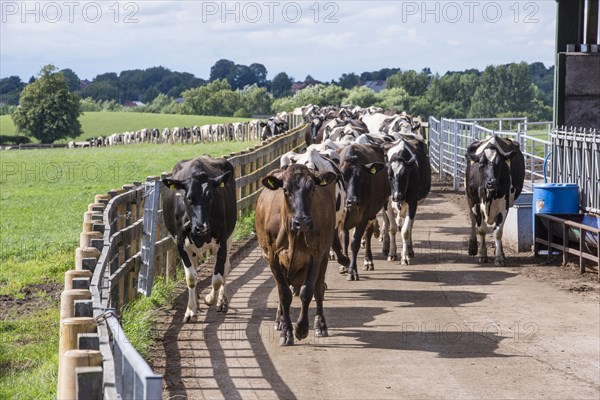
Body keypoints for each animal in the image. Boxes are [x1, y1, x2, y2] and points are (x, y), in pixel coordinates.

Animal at [162, 156, 237, 322]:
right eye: (189, 198)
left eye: (211, 197)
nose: (201, 227)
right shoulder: (181, 243)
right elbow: (191, 277)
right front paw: (191, 310)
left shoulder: (222, 240)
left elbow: (217, 277)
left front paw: (210, 299)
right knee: (195, 268)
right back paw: (196, 299)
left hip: (229, 236)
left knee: (226, 267)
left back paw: (221, 301)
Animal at [254, 164, 338, 346]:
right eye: (285, 190)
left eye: (312, 188)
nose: (302, 222)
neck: (293, 236)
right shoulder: (273, 257)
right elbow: (284, 294)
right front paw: (286, 331)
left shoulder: (316, 255)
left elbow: (308, 291)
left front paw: (301, 328)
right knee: (281, 288)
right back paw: (279, 320)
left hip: (325, 255)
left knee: (319, 289)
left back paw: (320, 325)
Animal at [466, 134, 524, 266]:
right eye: (482, 164)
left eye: (501, 164)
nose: (492, 182)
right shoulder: (476, 204)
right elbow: (481, 229)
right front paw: (482, 254)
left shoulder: (504, 206)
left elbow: (498, 231)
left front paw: (499, 257)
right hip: (469, 198)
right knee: (472, 219)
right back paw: (472, 247)